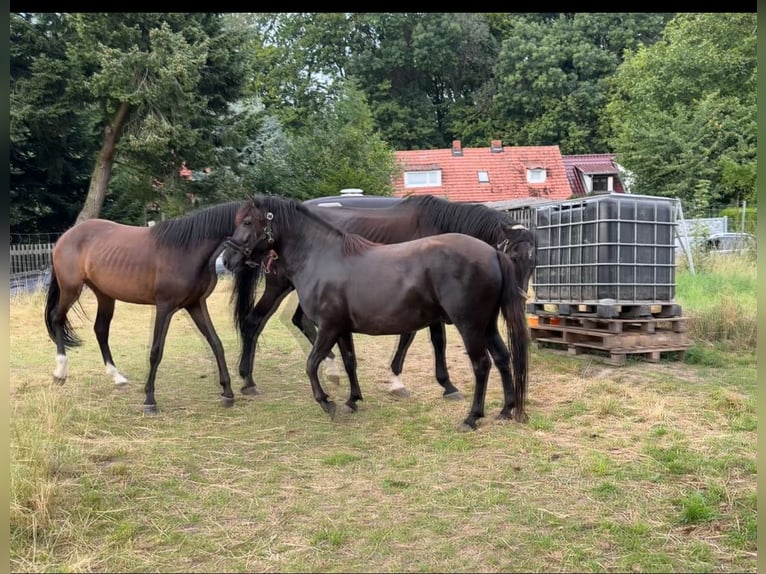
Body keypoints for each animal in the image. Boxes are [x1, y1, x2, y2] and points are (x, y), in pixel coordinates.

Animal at [42, 202, 246, 414]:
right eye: (248, 222)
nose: (229, 261)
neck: (187, 249)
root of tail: (64, 237)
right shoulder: (165, 307)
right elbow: (156, 351)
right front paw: (149, 400)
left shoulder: (195, 304)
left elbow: (215, 343)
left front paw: (228, 393)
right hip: (70, 290)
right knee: (57, 318)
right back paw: (60, 372)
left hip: (104, 295)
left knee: (100, 329)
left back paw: (116, 376)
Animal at [225, 195, 532, 432]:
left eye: (248, 222)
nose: (228, 258)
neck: (323, 256)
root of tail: (492, 253)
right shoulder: (341, 329)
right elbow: (350, 361)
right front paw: (352, 400)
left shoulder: (329, 328)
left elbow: (311, 364)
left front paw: (326, 402)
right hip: (486, 325)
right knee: (503, 357)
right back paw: (506, 409)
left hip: (470, 325)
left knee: (482, 365)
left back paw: (472, 417)